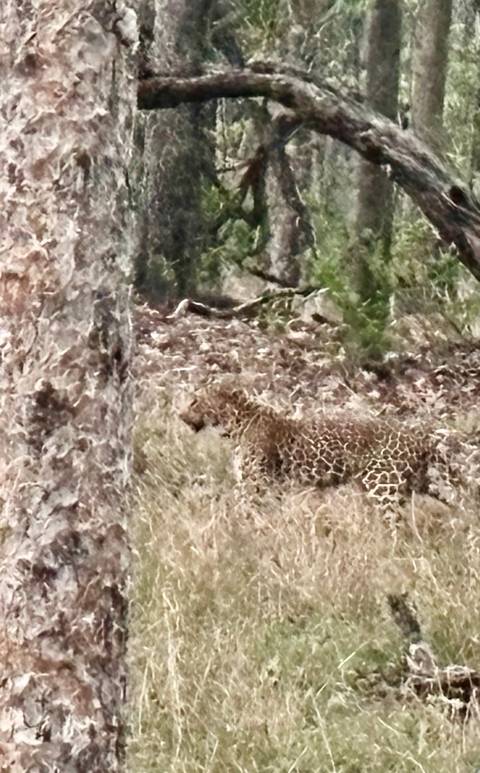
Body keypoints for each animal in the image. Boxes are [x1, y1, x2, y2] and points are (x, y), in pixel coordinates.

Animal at [179, 385, 466, 514]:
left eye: (194, 401)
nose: (179, 414)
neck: (236, 425)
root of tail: (419, 439)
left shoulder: (257, 484)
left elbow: (246, 509)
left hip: (382, 486)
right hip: (416, 481)